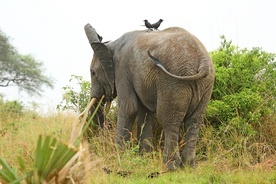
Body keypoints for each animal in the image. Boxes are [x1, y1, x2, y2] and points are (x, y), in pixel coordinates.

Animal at [84, 23, 216, 170]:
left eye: (93, 72)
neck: (111, 45)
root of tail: (202, 60)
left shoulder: (122, 71)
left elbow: (130, 108)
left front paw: (119, 155)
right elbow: (145, 114)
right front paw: (144, 157)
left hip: (173, 82)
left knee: (169, 121)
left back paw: (170, 166)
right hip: (206, 84)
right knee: (194, 121)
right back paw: (189, 166)